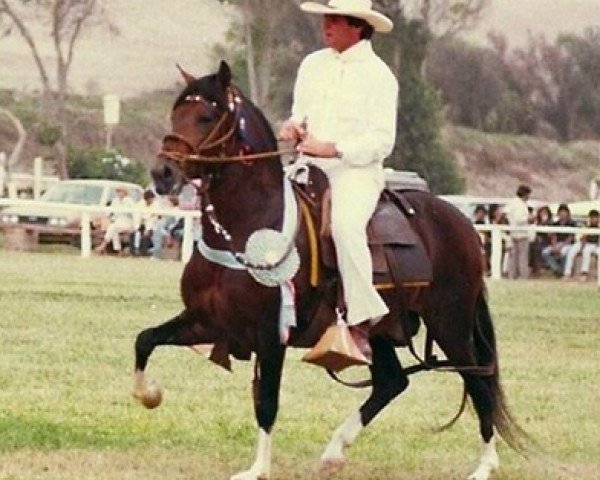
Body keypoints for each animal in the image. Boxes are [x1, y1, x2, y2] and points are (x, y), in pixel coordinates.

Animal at [135, 61, 524, 480]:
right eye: (175, 114)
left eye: (206, 116)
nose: (162, 173)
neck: (246, 227)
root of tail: (464, 224)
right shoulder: (207, 321)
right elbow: (145, 340)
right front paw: (149, 394)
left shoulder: (271, 334)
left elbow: (267, 401)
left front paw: (258, 469)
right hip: (380, 329)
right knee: (393, 382)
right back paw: (334, 452)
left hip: (450, 325)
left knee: (478, 381)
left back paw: (484, 466)